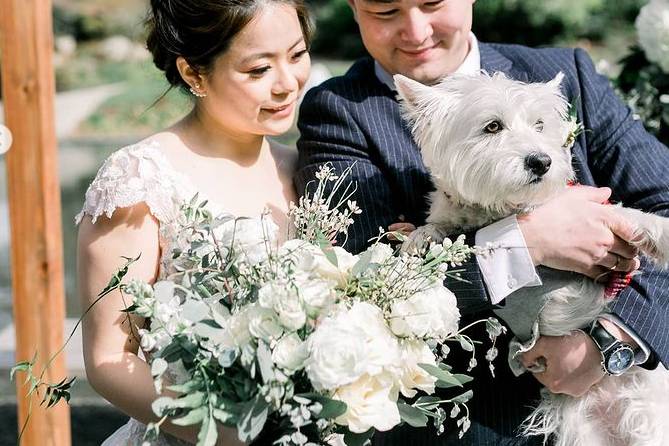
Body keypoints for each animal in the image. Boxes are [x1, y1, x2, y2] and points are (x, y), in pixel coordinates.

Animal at [394, 70, 668, 446]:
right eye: (492, 126)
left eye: (539, 125)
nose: (542, 161)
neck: (503, 210)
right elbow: (437, 226)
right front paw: (417, 238)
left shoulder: (593, 209)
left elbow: (626, 214)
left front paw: (662, 233)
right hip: (584, 430)